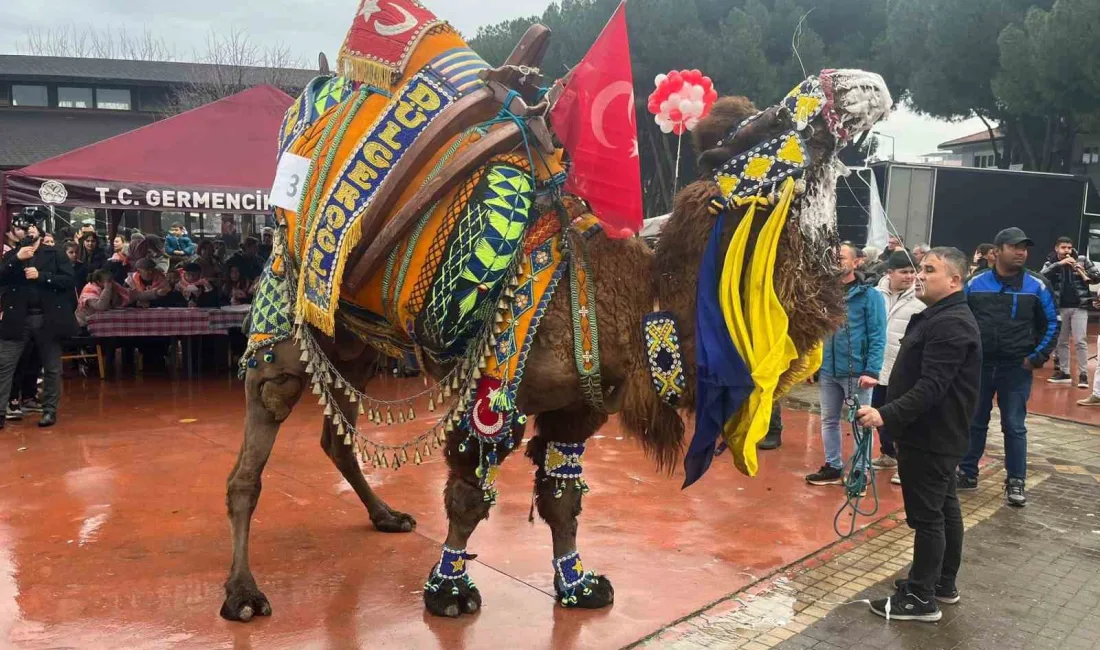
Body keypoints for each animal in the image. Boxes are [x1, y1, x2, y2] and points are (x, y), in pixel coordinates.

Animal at [218, 0, 888, 624]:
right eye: (768, 124)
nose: (867, 84)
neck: (629, 301)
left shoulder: (581, 406)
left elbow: (562, 495)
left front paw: (579, 585)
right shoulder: (492, 389)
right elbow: (470, 496)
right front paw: (450, 593)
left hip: (351, 342)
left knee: (336, 435)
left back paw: (385, 515)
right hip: (282, 316)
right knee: (254, 447)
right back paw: (243, 593)